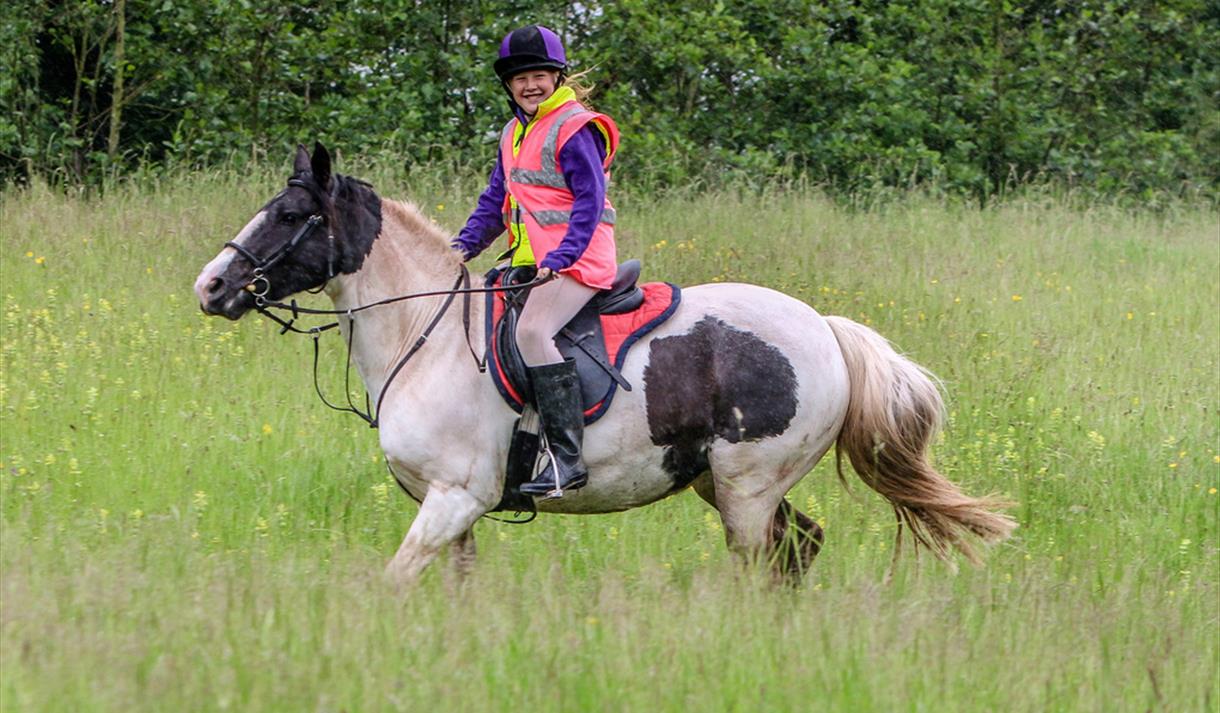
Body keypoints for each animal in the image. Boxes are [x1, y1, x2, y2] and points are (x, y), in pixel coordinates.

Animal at [195, 144, 1015, 586]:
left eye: (289, 215)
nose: (211, 286)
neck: (424, 338)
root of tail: (825, 328)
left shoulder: (455, 497)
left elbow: (397, 580)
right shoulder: (448, 510)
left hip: (747, 486)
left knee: (763, 562)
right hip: (720, 482)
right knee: (800, 547)